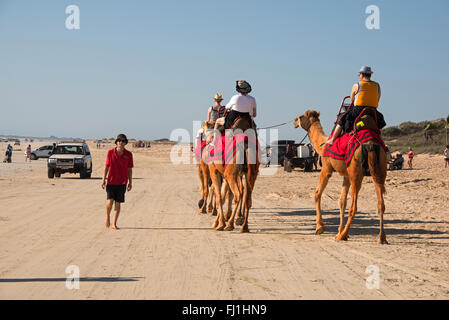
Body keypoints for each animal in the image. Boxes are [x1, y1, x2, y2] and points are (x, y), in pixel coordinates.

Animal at [292, 110, 386, 245]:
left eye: (301, 116)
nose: (294, 121)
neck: (322, 145)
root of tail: (370, 145)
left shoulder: (326, 168)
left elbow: (317, 194)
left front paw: (320, 228)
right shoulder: (346, 175)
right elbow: (342, 201)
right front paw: (339, 230)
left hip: (356, 173)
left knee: (354, 207)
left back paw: (342, 236)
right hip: (379, 170)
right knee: (380, 204)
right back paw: (381, 238)